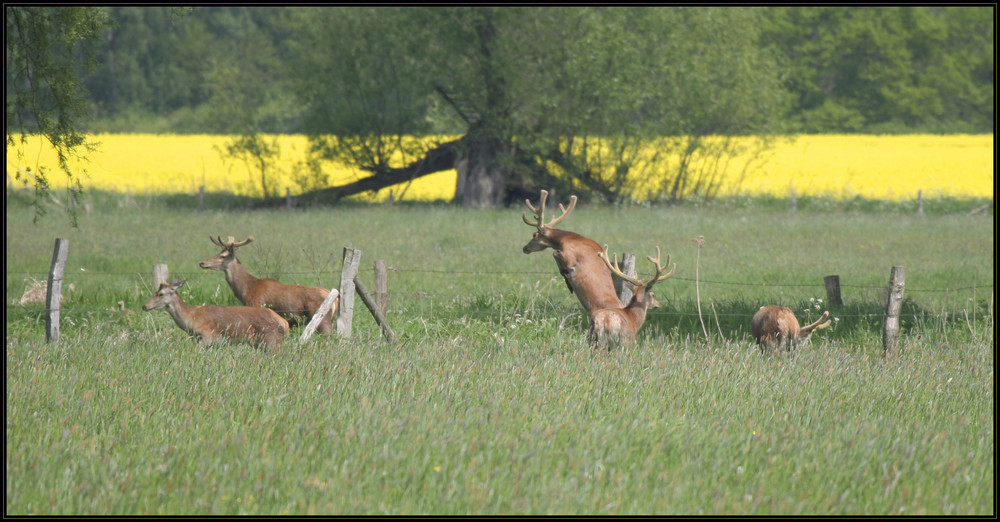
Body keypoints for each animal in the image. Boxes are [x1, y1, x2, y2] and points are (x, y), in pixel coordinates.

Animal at [142, 278, 290, 348]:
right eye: (156, 292)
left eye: (161, 293)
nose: (144, 306)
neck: (191, 318)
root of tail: (284, 322)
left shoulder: (208, 336)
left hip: (272, 340)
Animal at [201, 237, 338, 334]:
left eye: (223, 256)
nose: (202, 262)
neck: (246, 288)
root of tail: (335, 299)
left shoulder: (256, 305)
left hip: (322, 318)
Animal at [520, 189, 620, 322]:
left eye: (534, 235)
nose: (525, 248)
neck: (566, 239)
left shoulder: (569, 255)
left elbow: (555, 254)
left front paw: (567, 278)